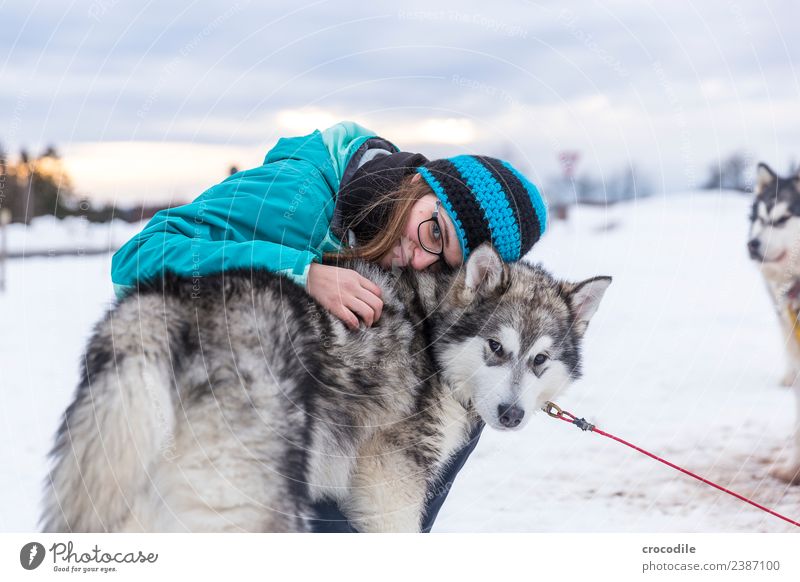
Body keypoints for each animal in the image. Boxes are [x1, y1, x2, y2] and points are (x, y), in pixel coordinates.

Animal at [40, 245, 608, 532]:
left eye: (539, 360)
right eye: (495, 346)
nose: (511, 414)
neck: (431, 329)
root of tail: (168, 303)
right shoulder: (390, 487)